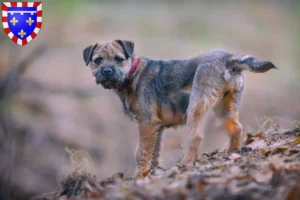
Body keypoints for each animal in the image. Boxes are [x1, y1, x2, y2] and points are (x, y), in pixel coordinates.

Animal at [82, 39, 276, 179]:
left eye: (119, 59)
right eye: (97, 60)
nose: (107, 71)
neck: (132, 73)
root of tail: (229, 58)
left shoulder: (146, 123)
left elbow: (141, 152)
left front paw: (138, 176)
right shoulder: (156, 128)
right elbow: (154, 152)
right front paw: (150, 173)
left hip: (196, 106)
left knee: (197, 136)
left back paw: (185, 164)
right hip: (225, 106)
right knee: (236, 127)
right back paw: (232, 153)